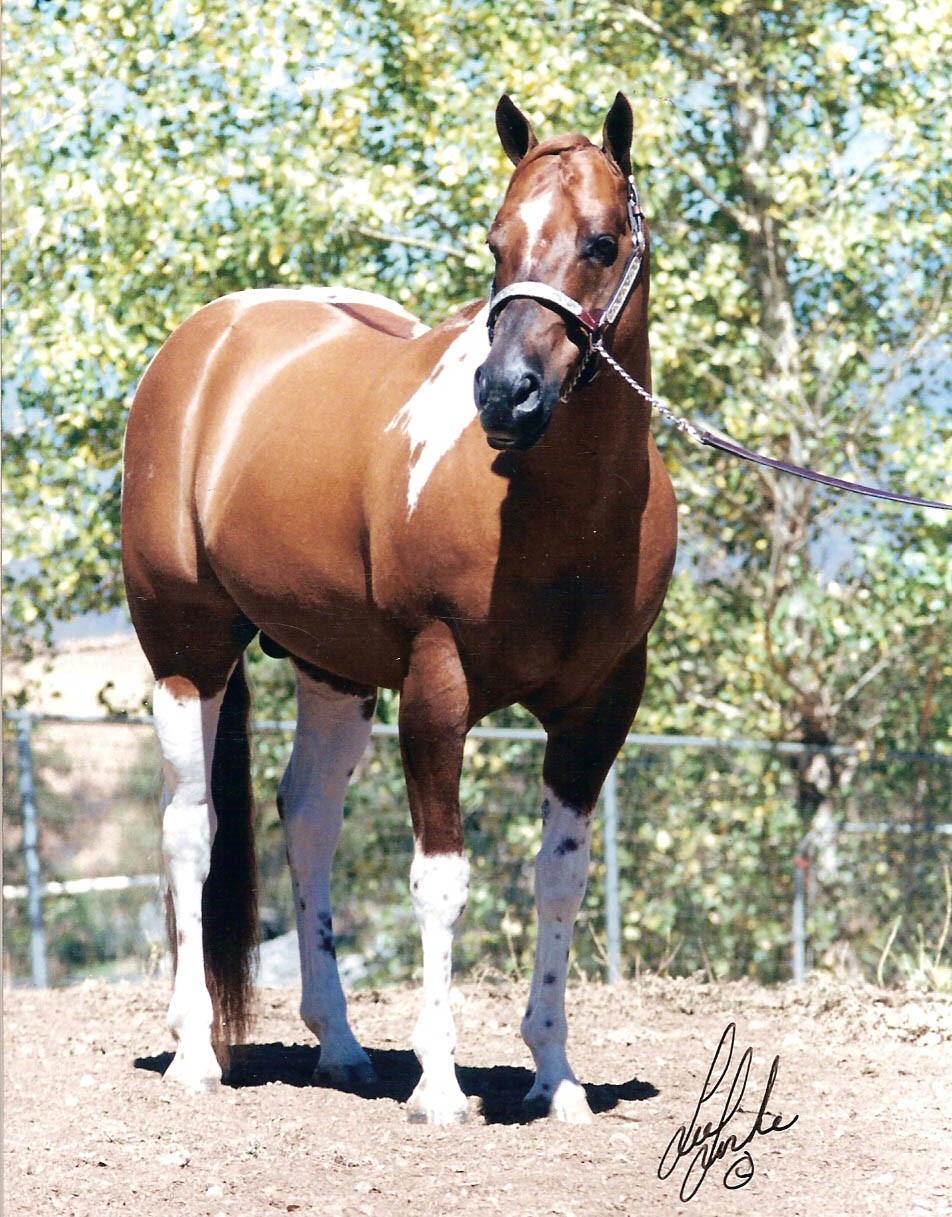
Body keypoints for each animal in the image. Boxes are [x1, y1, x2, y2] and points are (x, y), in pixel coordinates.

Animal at [121, 92, 677, 1125]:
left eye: (602, 241)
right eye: (497, 242)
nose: (505, 395)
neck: (552, 512)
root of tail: (205, 342)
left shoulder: (600, 706)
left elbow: (559, 878)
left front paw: (556, 1075)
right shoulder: (437, 687)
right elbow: (441, 882)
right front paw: (443, 1087)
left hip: (333, 669)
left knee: (307, 819)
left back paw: (340, 1047)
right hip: (188, 649)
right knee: (189, 827)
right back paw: (195, 1054)